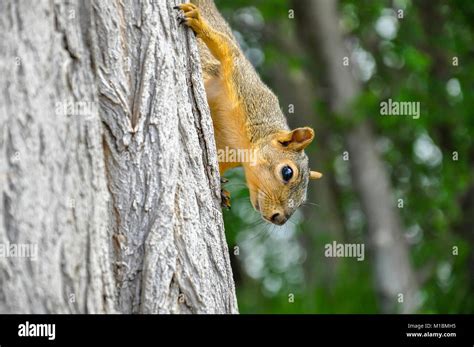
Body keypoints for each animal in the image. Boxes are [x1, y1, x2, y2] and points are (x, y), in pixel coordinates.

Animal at [174, 1, 322, 227]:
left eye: (303, 199)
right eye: (287, 172)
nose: (280, 219)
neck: (240, 144)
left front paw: (222, 191)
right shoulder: (244, 84)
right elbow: (227, 49)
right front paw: (199, 23)